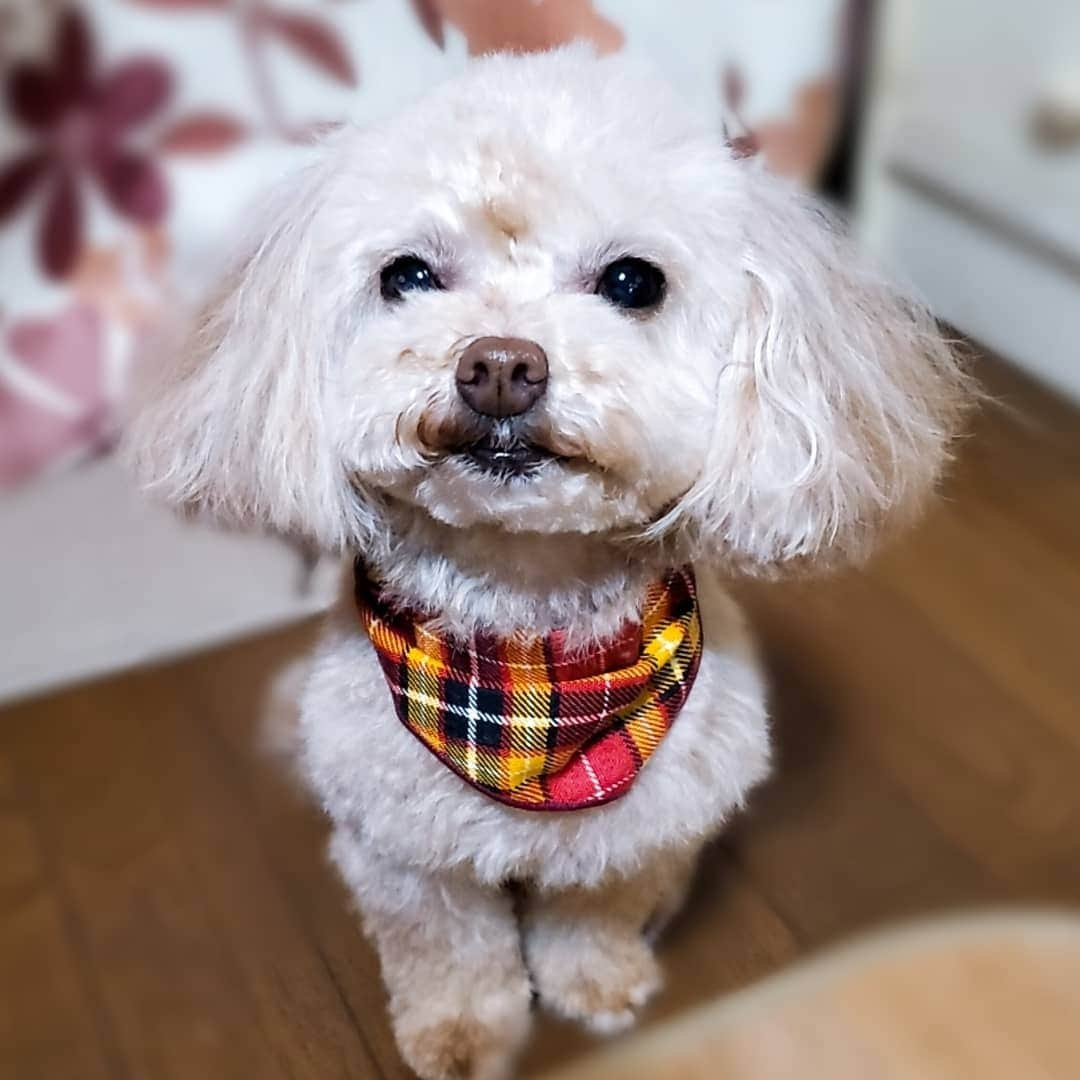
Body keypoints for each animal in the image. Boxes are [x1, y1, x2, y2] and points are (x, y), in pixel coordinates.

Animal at [128, 46, 972, 1080]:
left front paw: (598, 988)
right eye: (407, 274)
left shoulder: (629, 836)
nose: (498, 365)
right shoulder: (408, 858)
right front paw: (461, 1036)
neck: (525, 676)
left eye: (633, 281)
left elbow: (591, 919)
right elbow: (451, 953)